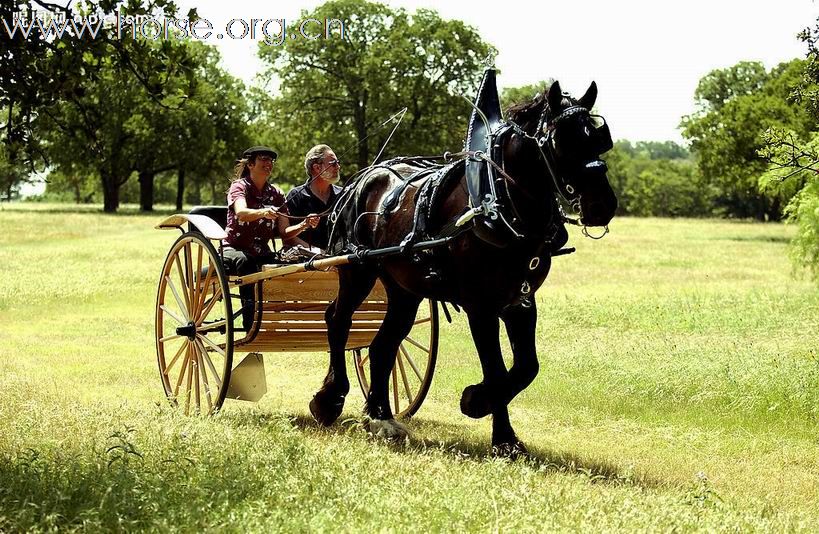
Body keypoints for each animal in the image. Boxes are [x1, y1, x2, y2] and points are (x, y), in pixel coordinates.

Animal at [310, 77, 620, 454]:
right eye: (563, 141)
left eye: (599, 139)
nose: (602, 204)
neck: (498, 202)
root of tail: (361, 179)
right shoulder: (480, 305)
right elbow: (496, 370)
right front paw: (488, 416)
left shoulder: (520, 300)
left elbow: (525, 368)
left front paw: (491, 418)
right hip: (358, 271)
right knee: (338, 320)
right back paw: (329, 399)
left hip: (404, 289)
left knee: (385, 344)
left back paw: (380, 416)